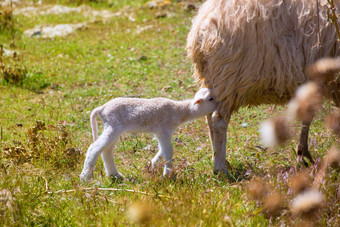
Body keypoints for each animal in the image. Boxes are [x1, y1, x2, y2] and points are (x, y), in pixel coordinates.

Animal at [80, 88, 216, 182]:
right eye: (210, 98)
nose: (219, 102)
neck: (179, 111)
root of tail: (102, 108)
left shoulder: (163, 133)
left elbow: (163, 150)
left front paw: (152, 166)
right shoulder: (164, 130)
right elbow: (169, 151)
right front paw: (168, 175)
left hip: (113, 129)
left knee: (106, 150)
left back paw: (115, 175)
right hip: (113, 126)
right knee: (94, 148)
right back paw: (85, 177)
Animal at [186, 0, 340, 176]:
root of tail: (202, 25)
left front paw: (303, 154)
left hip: (215, 80)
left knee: (209, 117)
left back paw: (219, 160)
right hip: (229, 77)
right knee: (218, 120)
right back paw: (221, 168)